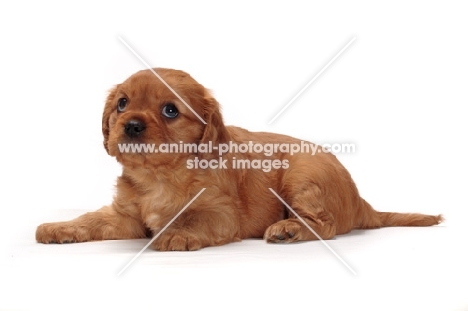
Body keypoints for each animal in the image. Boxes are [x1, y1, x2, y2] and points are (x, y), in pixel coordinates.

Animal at [35, 68, 442, 251]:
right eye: (122, 103)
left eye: (170, 111)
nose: (130, 125)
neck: (160, 176)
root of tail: (361, 203)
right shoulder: (125, 216)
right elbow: (91, 219)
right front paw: (57, 227)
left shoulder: (221, 213)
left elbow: (192, 218)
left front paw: (174, 232)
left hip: (302, 176)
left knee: (324, 225)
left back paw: (288, 229)